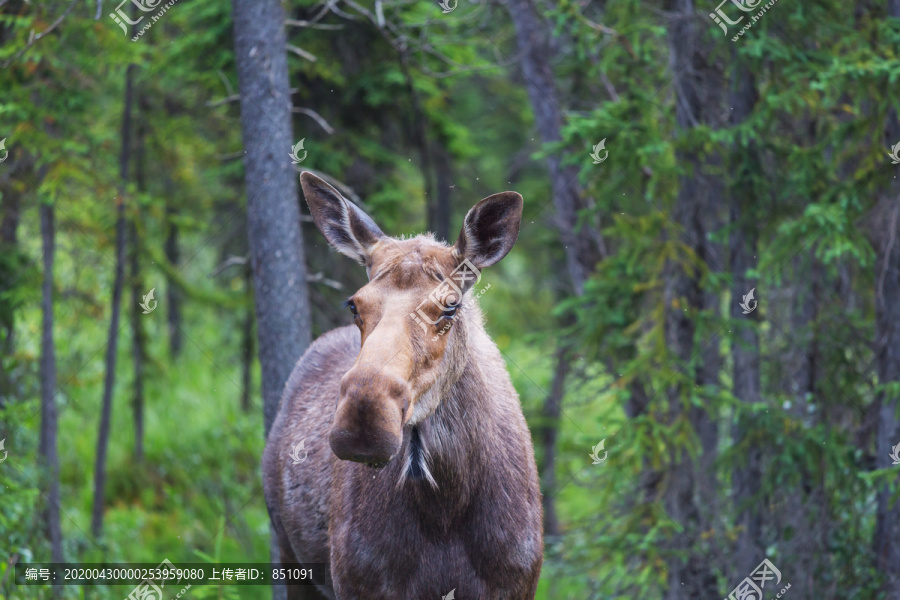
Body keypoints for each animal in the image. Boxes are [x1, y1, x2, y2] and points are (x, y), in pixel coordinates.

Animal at [260, 171, 540, 596]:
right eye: (354, 304)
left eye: (450, 305)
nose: (364, 418)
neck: (446, 504)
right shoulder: (357, 585)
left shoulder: (518, 585)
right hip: (290, 557)